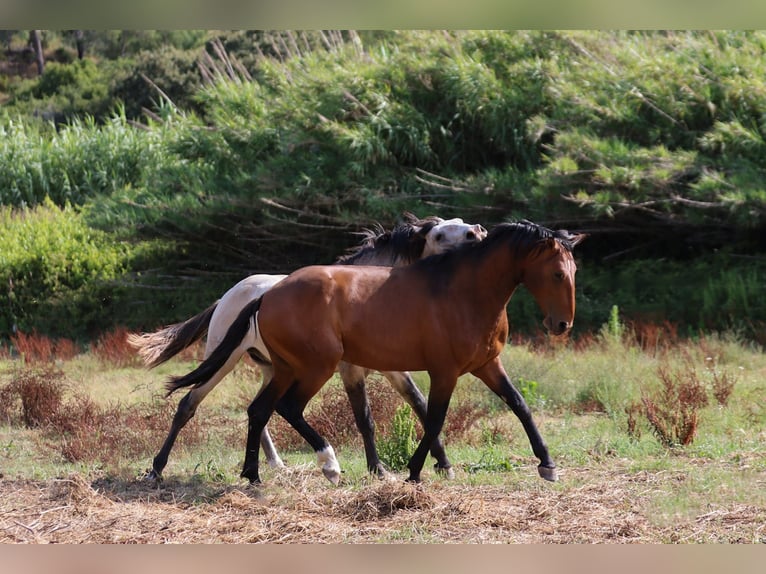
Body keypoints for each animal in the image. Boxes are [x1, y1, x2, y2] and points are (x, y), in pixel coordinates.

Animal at [126, 214, 486, 484]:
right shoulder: (351, 371)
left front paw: (443, 464)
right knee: (189, 403)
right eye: (439, 234)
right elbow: (364, 418)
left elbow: (422, 407)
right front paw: (379, 470)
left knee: (258, 410)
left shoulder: (394, 368)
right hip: (224, 362)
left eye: (459, 222)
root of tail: (228, 296)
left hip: (274, 369)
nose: (477, 232)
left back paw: (274, 465)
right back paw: (157, 469)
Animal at [166, 220, 588, 486]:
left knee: (259, 411)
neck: (462, 292)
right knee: (270, 407)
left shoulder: (486, 365)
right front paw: (413, 472)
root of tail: (265, 295)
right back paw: (329, 465)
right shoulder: (443, 371)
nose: (561, 325)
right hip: (309, 366)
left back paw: (254, 475)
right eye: (556, 273)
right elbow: (430, 417)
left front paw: (547, 465)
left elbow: (519, 406)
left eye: (574, 271)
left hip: (284, 369)